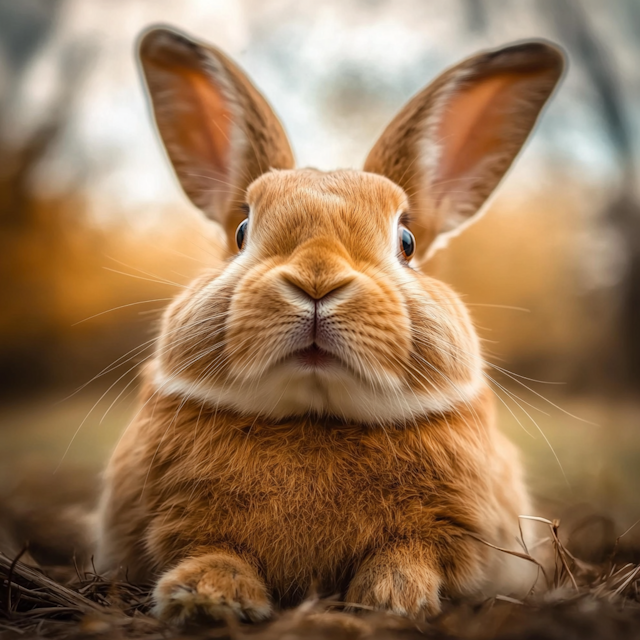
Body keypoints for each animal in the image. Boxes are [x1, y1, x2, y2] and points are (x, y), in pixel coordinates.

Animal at [96, 26, 564, 624]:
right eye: (242, 232)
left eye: (407, 242)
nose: (317, 280)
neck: (315, 414)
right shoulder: (175, 522)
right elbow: (208, 548)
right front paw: (204, 596)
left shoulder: (454, 533)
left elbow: (413, 551)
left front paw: (392, 598)